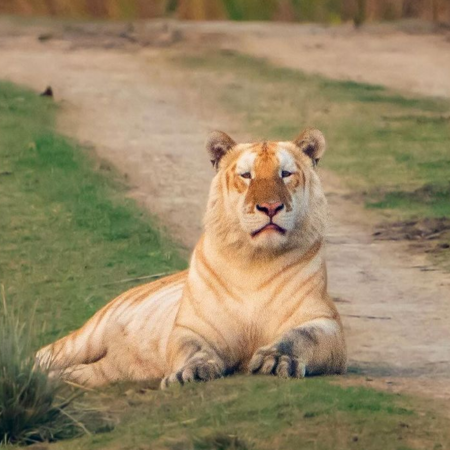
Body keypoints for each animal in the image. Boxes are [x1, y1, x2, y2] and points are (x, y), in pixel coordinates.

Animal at [37, 127, 348, 386]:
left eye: (285, 174)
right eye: (246, 176)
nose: (270, 207)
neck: (255, 261)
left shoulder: (325, 322)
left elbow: (300, 337)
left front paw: (277, 360)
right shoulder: (193, 327)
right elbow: (192, 349)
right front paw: (193, 372)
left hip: (107, 371)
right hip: (88, 335)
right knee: (44, 354)